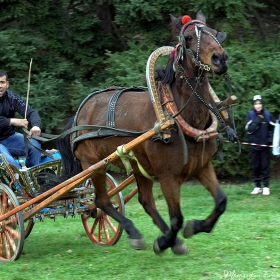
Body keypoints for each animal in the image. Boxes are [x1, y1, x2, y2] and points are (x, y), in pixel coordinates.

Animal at [46, 9, 238, 255]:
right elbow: (177, 218)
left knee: (144, 201)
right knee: (101, 202)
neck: (176, 115)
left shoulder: (202, 166)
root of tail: (81, 112)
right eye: (188, 38)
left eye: (214, 33)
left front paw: (193, 228)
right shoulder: (168, 176)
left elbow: (221, 202)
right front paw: (164, 241)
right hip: (93, 164)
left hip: (139, 167)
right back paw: (135, 232)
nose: (220, 58)